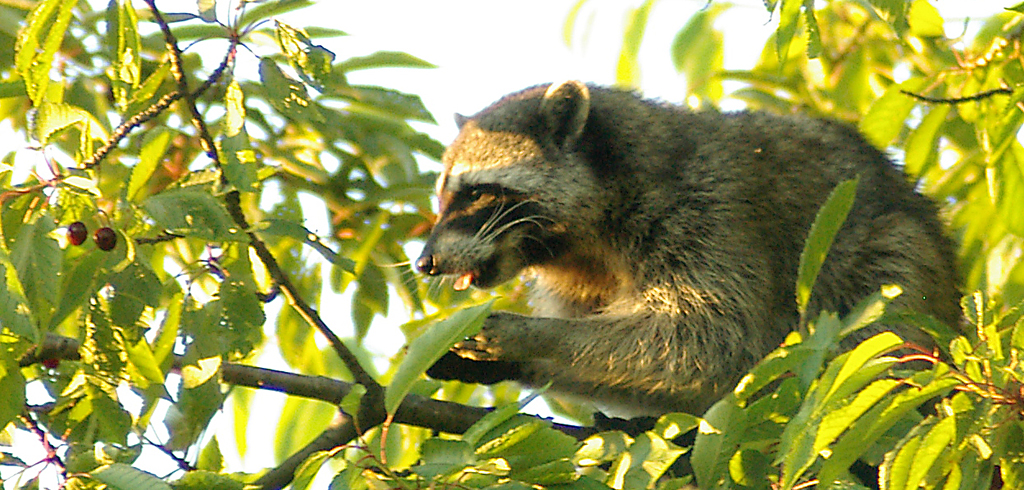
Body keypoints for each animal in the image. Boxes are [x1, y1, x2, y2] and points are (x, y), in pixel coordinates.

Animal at [415, 81, 958, 417]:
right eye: (442, 197)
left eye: (476, 192)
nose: (425, 262)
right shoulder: (584, 281)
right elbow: (655, 374)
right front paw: (522, 361)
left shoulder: (711, 214)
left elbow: (706, 338)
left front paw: (529, 334)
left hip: (892, 264)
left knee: (881, 297)